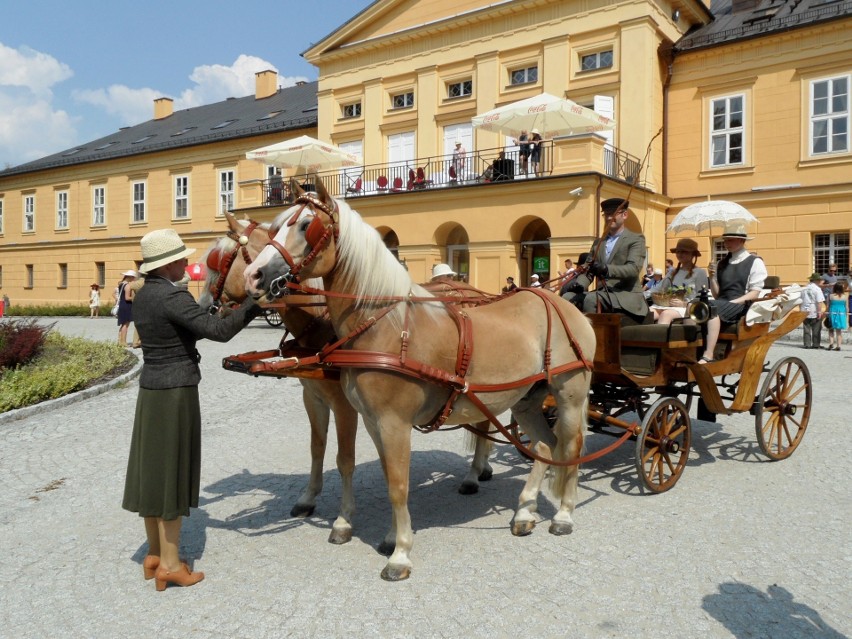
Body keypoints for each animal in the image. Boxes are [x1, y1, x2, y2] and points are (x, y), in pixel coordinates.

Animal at [197, 215, 496, 544]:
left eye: (221, 261)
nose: (202, 306)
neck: (323, 320)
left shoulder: (345, 405)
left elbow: (345, 459)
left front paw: (343, 520)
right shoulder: (312, 397)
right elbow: (317, 448)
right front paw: (308, 498)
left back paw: (474, 473)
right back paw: (482, 466)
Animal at [243, 184, 596, 580]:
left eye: (307, 225)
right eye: (275, 229)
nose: (254, 275)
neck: (387, 327)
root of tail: (559, 303)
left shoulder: (394, 422)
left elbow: (398, 485)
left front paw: (400, 554)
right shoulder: (372, 420)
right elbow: (387, 476)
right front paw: (389, 538)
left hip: (569, 395)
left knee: (572, 446)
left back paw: (563, 513)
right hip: (526, 400)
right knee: (546, 446)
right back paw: (524, 510)